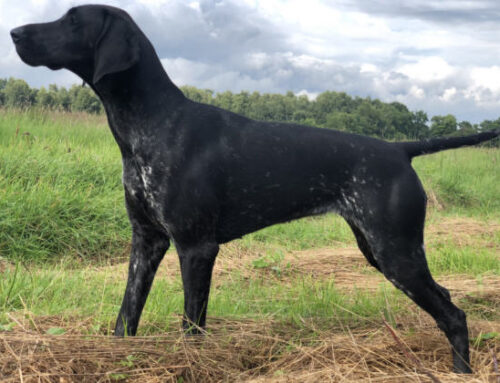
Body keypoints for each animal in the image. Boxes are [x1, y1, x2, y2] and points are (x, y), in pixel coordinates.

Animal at [9, 4, 498, 374]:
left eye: (74, 20)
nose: (13, 31)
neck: (150, 125)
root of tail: (400, 149)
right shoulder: (145, 241)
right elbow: (126, 315)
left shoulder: (196, 247)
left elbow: (192, 326)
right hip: (381, 250)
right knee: (448, 302)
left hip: (396, 253)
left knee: (454, 314)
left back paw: (461, 372)